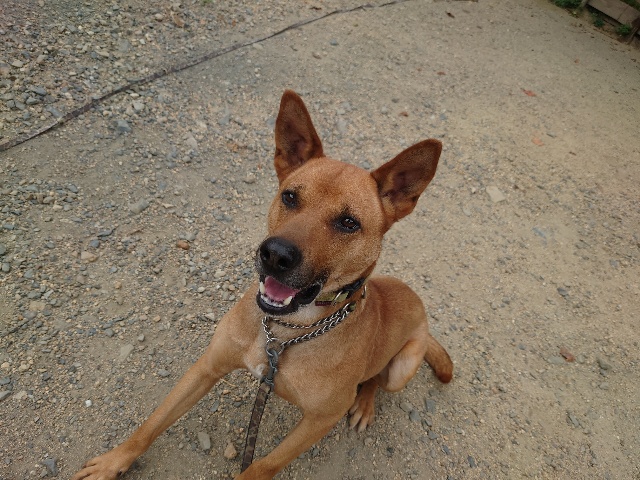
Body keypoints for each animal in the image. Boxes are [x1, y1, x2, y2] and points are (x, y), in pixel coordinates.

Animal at [72, 90, 453, 480]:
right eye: (290, 197)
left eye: (349, 222)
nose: (275, 255)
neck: (286, 331)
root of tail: (418, 305)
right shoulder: (207, 366)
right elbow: (153, 422)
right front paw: (114, 461)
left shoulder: (320, 419)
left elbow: (263, 465)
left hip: (402, 368)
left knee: (377, 378)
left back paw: (365, 404)